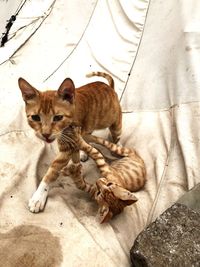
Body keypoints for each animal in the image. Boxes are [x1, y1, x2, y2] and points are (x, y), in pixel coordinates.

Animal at [18, 71, 122, 214]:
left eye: (58, 117)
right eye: (35, 117)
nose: (45, 134)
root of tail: (109, 87)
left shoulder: (67, 148)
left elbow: (52, 170)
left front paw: (39, 196)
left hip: (114, 122)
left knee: (116, 135)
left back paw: (118, 146)